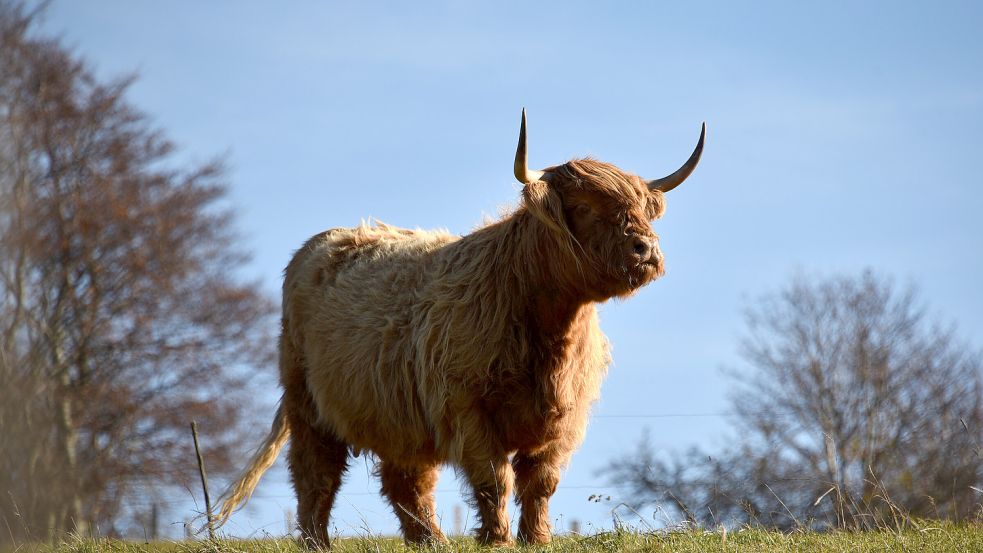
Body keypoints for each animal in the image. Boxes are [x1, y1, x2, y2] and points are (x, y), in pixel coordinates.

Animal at [216, 110, 708, 544]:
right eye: (585, 207)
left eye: (641, 208)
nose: (645, 248)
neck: (548, 328)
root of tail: (319, 243)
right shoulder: (466, 408)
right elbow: (495, 480)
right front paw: (498, 540)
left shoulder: (564, 421)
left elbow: (540, 484)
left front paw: (537, 539)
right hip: (307, 402)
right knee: (316, 474)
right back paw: (318, 542)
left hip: (397, 415)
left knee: (405, 481)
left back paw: (430, 540)